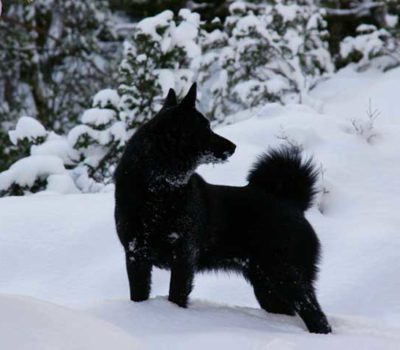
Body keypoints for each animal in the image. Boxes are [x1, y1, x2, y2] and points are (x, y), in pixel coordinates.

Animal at [113, 84, 332, 334]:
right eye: (205, 127)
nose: (233, 146)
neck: (158, 189)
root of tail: (292, 204)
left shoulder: (183, 256)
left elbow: (176, 296)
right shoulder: (136, 253)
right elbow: (139, 294)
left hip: (286, 275)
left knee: (317, 315)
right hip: (266, 285)